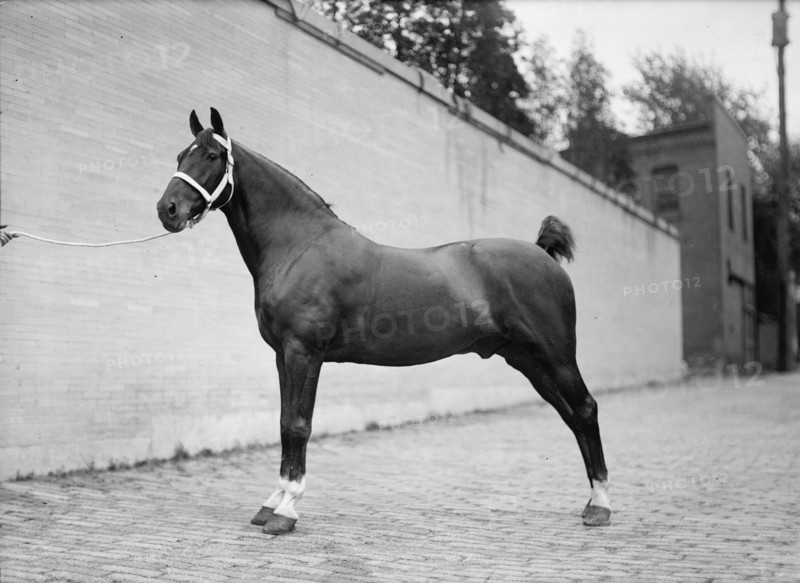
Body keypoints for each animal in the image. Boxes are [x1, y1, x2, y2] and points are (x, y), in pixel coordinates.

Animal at [156, 108, 611, 535]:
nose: (167, 209)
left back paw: (601, 507)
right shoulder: (282, 355)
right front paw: (271, 503)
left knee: (586, 409)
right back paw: (592, 501)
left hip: (555, 356)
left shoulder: (305, 353)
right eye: (181, 155)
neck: (300, 246)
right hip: (526, 360)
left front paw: (286, 512)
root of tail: (543, 253)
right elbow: (284, 423)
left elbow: (299, 425)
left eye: (212, 156)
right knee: (571, 415)